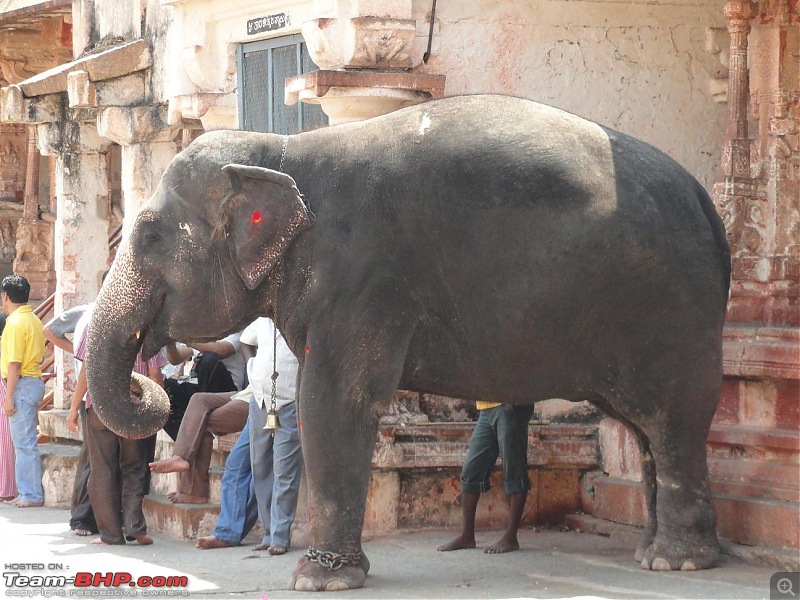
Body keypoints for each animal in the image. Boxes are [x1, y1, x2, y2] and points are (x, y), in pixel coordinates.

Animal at [87, 94, 732, 592]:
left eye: (150, 235)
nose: (153, 376)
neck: (282, 148)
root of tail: (706, 201)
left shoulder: (362, 279)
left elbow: (333, 402)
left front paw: (320, 581)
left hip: (670, 310)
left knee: (672, 421)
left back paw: (675, 562)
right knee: (646, 431)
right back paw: (658, 553)